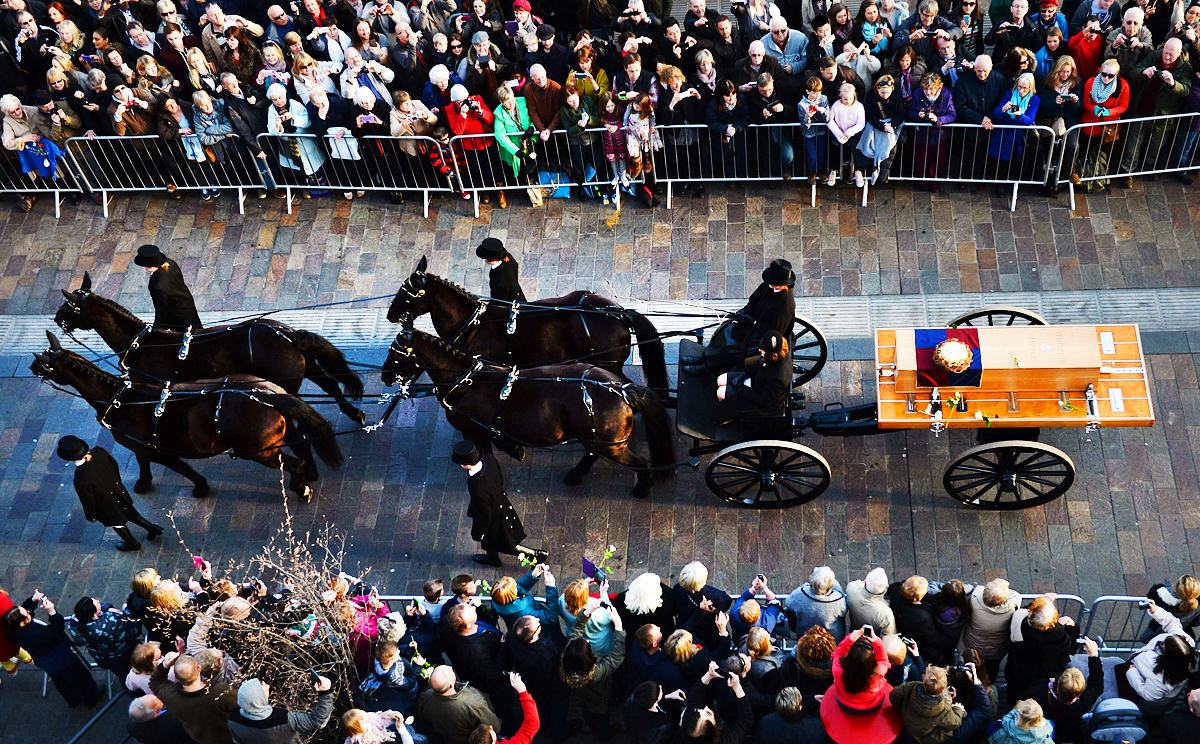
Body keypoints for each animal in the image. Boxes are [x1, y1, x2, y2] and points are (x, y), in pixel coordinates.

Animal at [32, 333, 343, 499]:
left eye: (45, 362)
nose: (32, 367)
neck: (122, 398)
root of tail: (265, 394)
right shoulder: (146, 447)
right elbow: (147, 462)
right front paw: (145, 482)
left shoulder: (153, 448)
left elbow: (178, 467)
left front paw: (199, 487)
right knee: (302, 447)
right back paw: (309, 474)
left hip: (258, 452)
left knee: (292, 463)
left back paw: (300, 487)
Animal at [55, 271, 364, 429]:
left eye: (69, 305)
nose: (57, 320)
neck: (143, 343)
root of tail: (287, 334)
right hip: (306, 369)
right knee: (332, 386)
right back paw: (354, 414)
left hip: (288, 383)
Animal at [391, 328, 681, 496]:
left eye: (396, 355)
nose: (385, 376)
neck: (468, 380)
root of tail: (621, 389)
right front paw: (513, 449)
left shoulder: (473, 430)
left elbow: (486, 455)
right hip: (596, 437)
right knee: (592, 453)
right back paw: (575, 475)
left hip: (610, 445)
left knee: (638, 461)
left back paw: (642, 488)